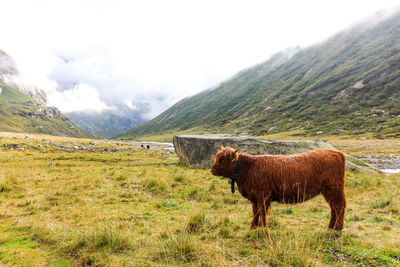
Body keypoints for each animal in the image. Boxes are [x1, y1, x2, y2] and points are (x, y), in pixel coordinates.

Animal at [211, 148, 346, 231]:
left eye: (222, 159)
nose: (211, 170)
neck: (247, 168)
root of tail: (338, 153)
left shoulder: (263, 196)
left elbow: (262, 212)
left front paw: (263, 228)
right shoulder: (255, 197)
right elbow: (255, 212)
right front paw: (253, 227)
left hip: (334, 188)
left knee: (339, 206)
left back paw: (337, 228)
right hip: (328, 191)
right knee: (333, 208)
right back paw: (331, 227)